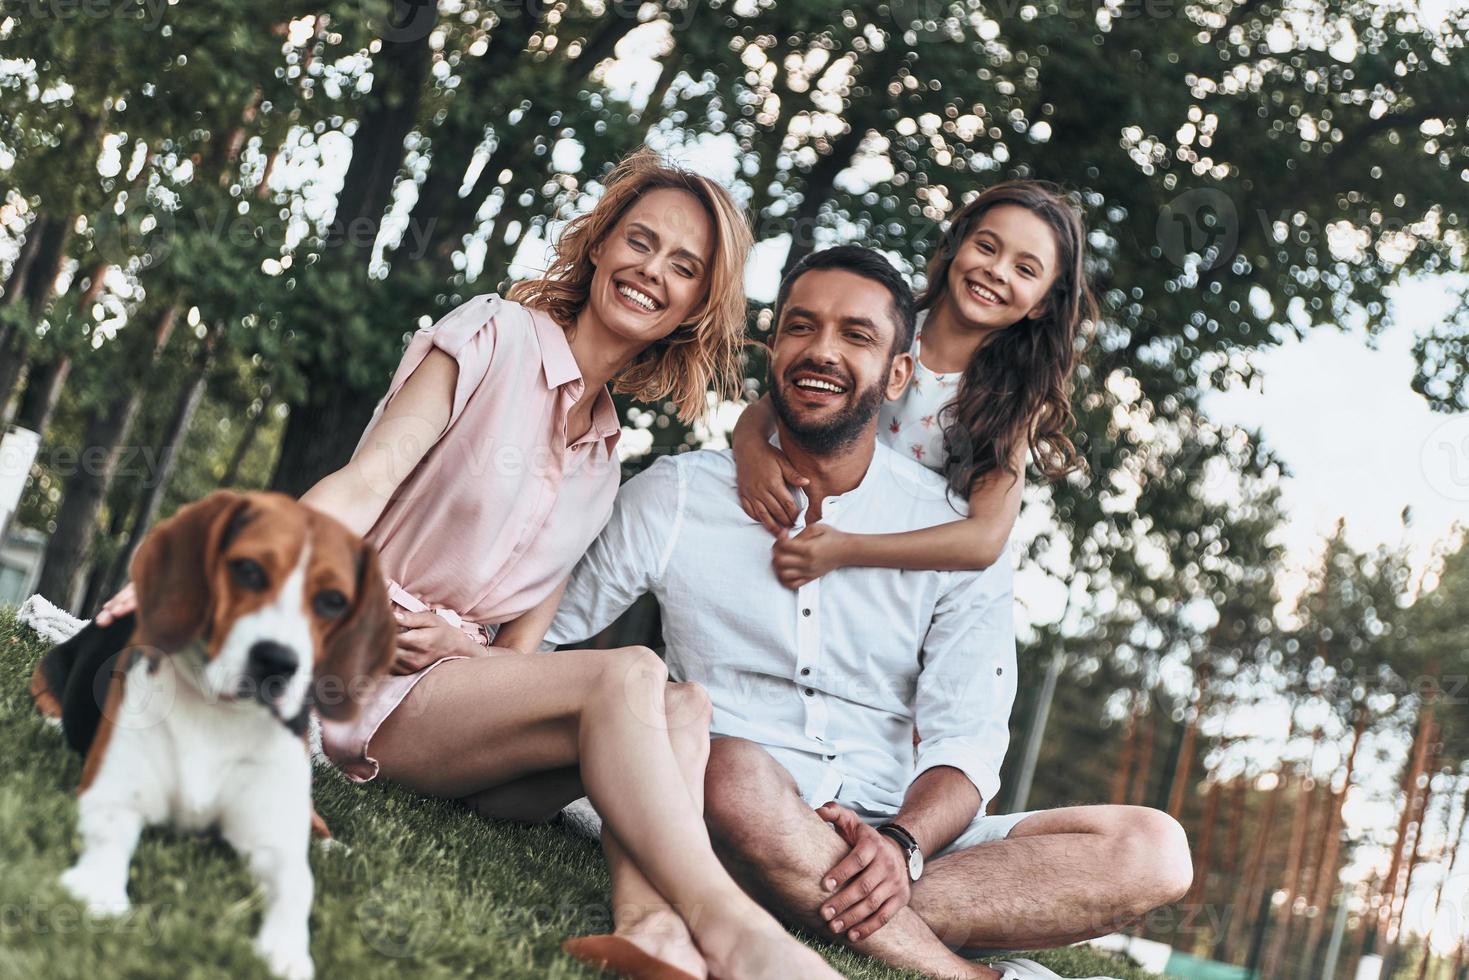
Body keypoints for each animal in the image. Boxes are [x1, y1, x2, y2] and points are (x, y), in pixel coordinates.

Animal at [30, 490, 396, 980]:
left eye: (334, 601)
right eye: (248, 569)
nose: (277, 661)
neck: (221, 711)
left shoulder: (271, 836)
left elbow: (297, 885)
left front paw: (287, 951)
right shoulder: (115, 792)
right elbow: (109, 832)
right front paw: (97, 889)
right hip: (47, 669)